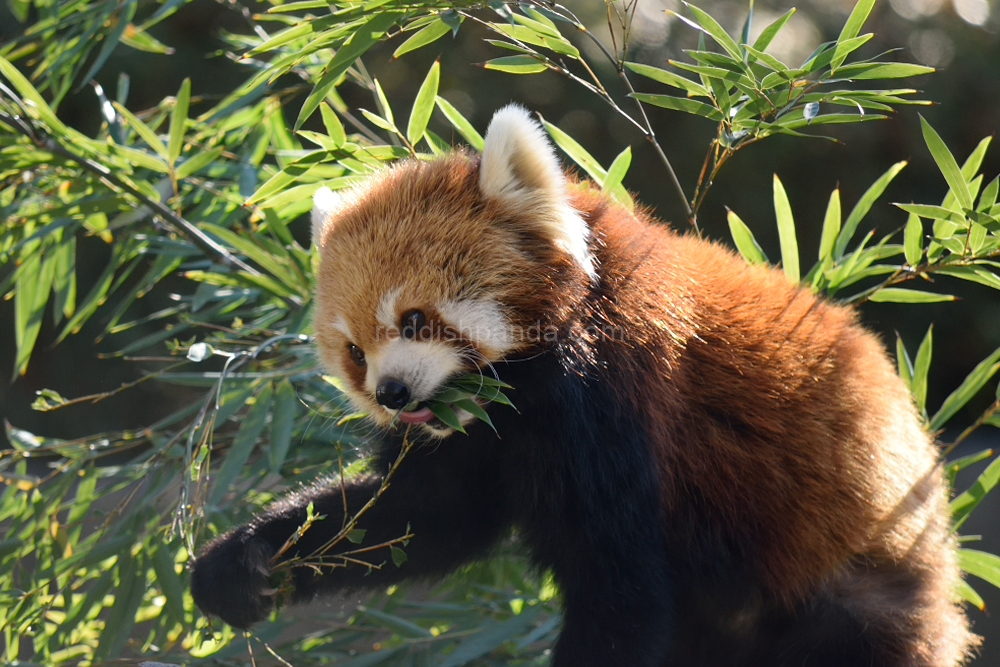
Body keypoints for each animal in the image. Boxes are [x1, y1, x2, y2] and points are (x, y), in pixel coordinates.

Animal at [189, 105, 976, 667]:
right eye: (354, 352)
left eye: (413, 320)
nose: (391, 395)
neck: (520, 396)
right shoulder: (476, 441)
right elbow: (423, 514)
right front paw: (243, 561)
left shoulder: (616, 401)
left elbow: (619, 593)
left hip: (848, 595)